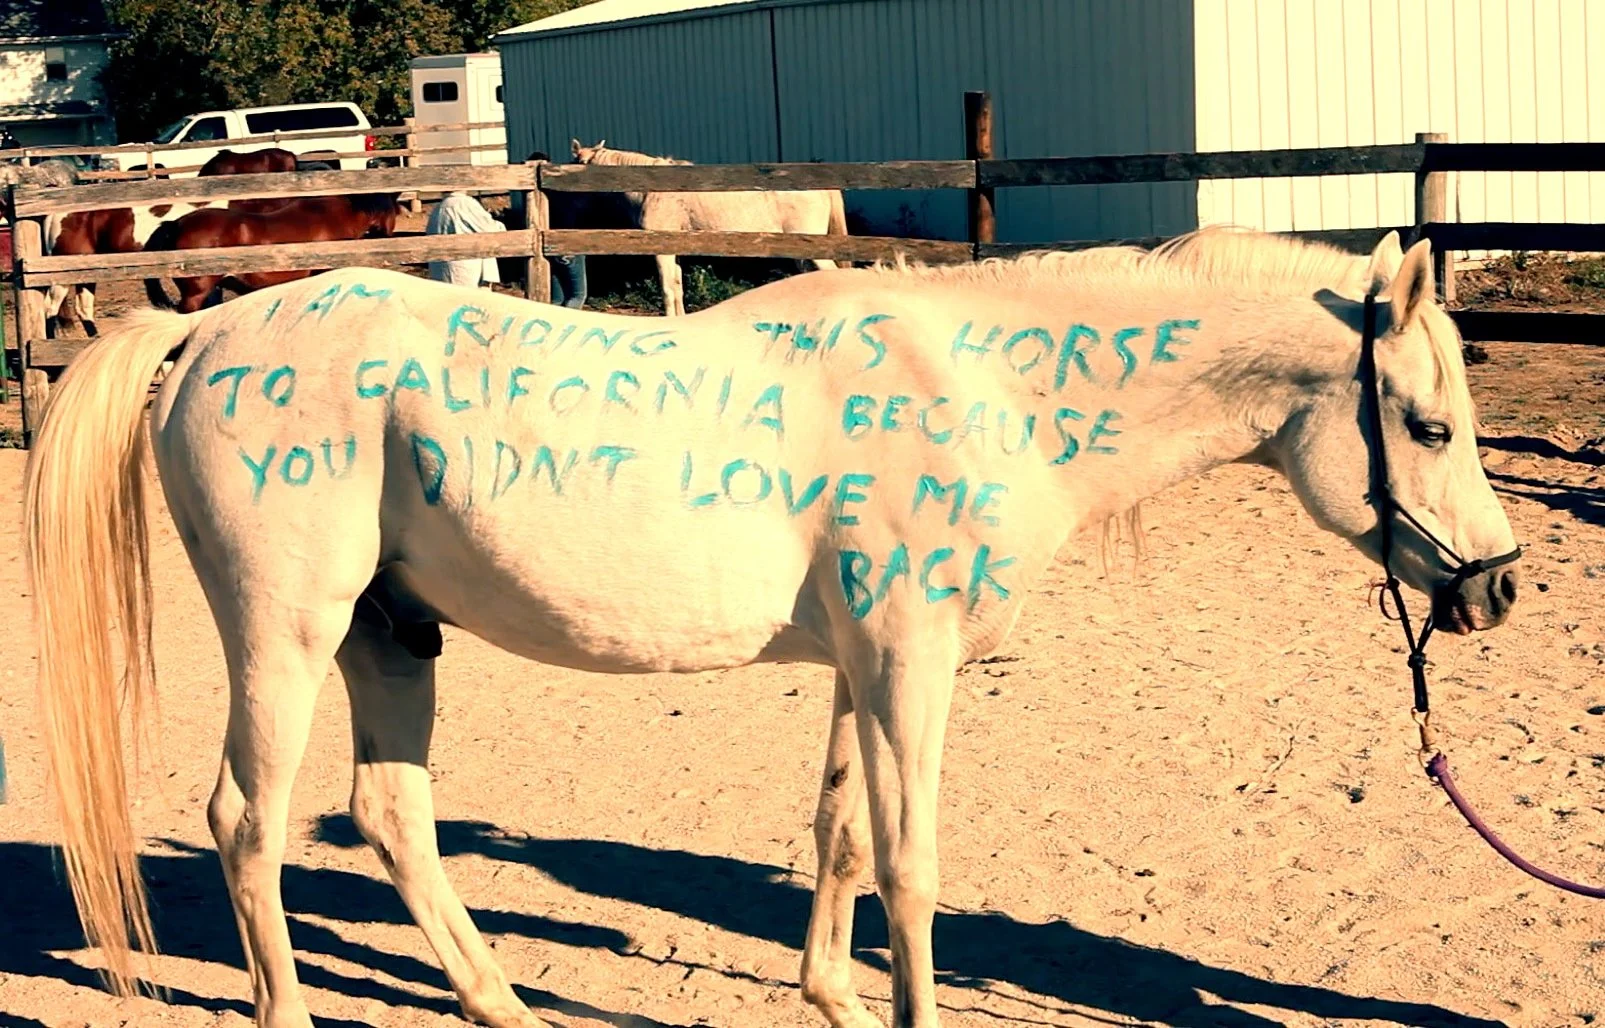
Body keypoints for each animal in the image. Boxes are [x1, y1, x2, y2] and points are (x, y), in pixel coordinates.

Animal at [23, 227, 1521, 1028]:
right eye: (1428, 426)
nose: (1497, 586)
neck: (984, 385)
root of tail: (212, 334)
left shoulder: (865, 667)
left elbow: (841, 834)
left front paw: (833, 996)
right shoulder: (911, 666)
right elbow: (912, 865)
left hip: (390, 636)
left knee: (390, 818)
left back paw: (500, 999)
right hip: (285, 635)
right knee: (246, 820)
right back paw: (292, 1002)